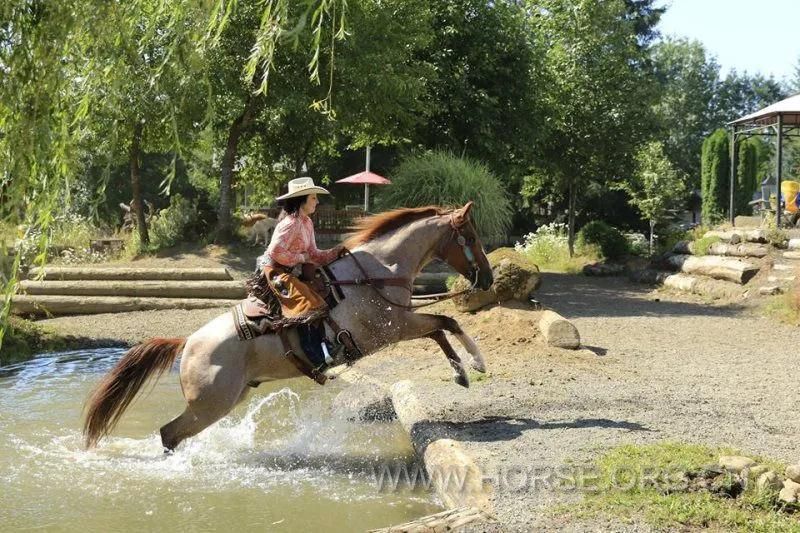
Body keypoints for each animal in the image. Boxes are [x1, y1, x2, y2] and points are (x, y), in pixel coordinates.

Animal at [83, 202, 494, 450]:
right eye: (472, 237)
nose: (488, 279)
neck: (375, 272)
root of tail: (188, 342)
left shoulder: (402, 324)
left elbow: (440, 328)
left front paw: (462, 373)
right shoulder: (395, 327)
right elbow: (446, 321)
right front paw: (476, 364)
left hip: (228, 398)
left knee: (175, 432)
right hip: (211, 404)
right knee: (169, 432)